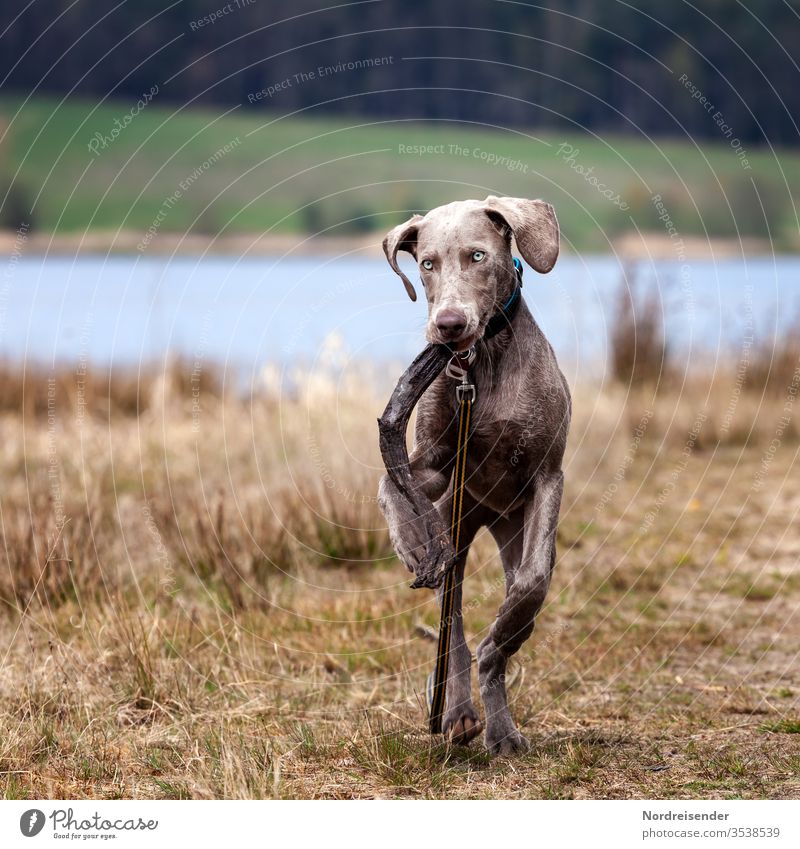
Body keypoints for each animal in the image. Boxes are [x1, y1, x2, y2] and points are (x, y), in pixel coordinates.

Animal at [378, 195, 572, 752]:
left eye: (478, 256)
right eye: (427, 264)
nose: (447, 325)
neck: (478, 362)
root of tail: (489, 516)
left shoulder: (548, 474)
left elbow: (530, 585)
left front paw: (504, 635)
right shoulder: (434, 467)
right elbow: (390, 481)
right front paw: (411, 541)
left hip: (512, 528)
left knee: (500, 622)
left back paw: (500, 727)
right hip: (457, 527)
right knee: (455, 628)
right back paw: (458, 711)